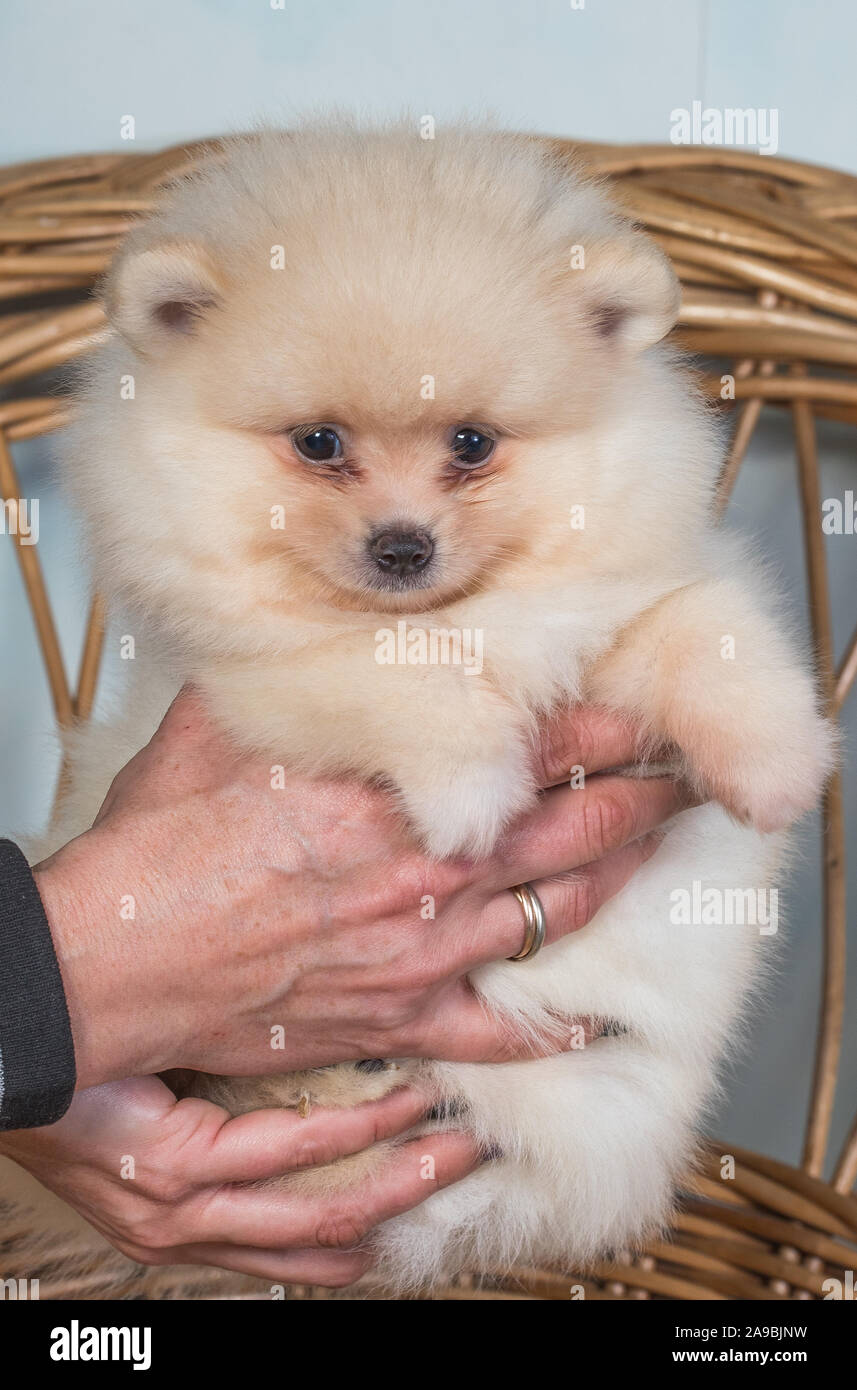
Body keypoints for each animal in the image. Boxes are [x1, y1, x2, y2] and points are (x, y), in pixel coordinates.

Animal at [5, 122, 833, 1289]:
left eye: (472, 443)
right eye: (317, 443)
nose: (402, 546)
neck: (476, 612)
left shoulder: (615, 602)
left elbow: (700, 625)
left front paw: (774, 766)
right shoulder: (260, 669)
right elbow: (396, 669)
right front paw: (471, 800)